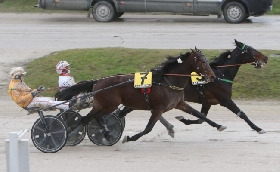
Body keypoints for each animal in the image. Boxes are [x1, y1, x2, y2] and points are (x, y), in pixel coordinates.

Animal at [60, 47, 226, 143]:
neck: (168, 80)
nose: (212, 76)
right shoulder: (158, 109)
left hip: (100, 104)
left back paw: (73, 134)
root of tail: (98, 82)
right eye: (203, 61)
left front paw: (219, 126)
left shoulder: (180, 103)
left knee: (85, 118)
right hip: (109, 105)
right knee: (96, 117)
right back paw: (106, 134)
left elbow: (200, 115)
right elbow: (148, 128)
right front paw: (129, 138)